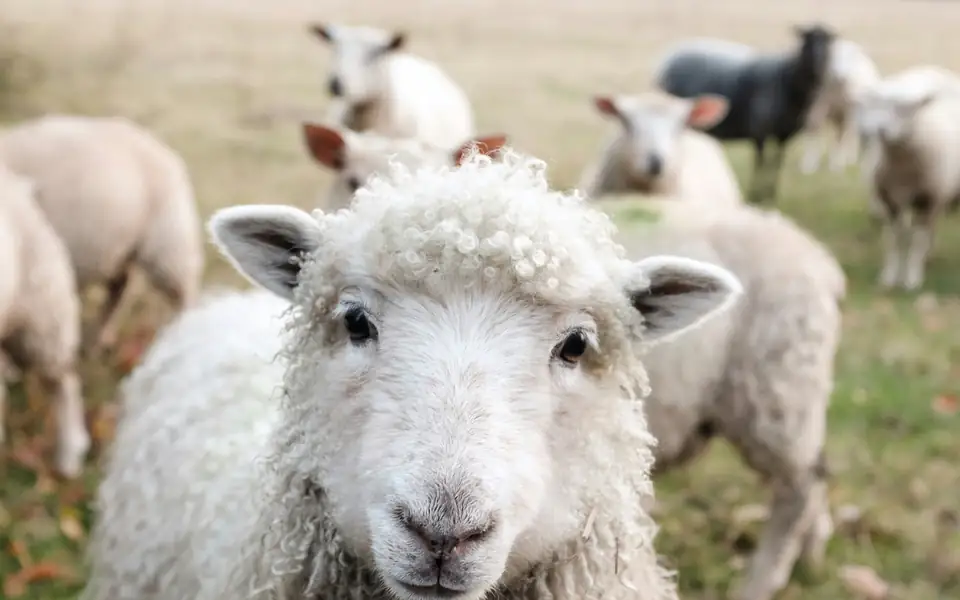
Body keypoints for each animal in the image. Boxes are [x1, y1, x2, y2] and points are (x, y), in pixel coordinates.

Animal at [0, 114, 205, 353]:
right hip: (123, 246)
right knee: (120, 288)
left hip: (168, 241)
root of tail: (165, 151)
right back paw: (99, 340)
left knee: (183, 289)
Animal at [654, 24, 836, 204]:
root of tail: (667, 58)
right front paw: (756, 195)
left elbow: (776, 164)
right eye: (807, 41)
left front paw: (770, 195)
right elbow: (760, 163)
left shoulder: (784, 136)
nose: (819, 65)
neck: (786, 79)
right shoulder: (760, 131)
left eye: (828, 43)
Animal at [798, 37, 881, 174]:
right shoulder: (817, 106)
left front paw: (837, 166)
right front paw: (808, 165)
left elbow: (844, 136)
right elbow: (813, 130)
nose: (840, 74)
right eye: (832, 57)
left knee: (849, 134)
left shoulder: (849, 112)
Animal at [854, 65, 960, 291]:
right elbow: (893, 239)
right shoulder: (889, 200)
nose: (880, 130)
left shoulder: (928, 200)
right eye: (874, 105)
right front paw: (889, 277)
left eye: (905, 109)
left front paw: (912, 278)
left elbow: (918, 240)